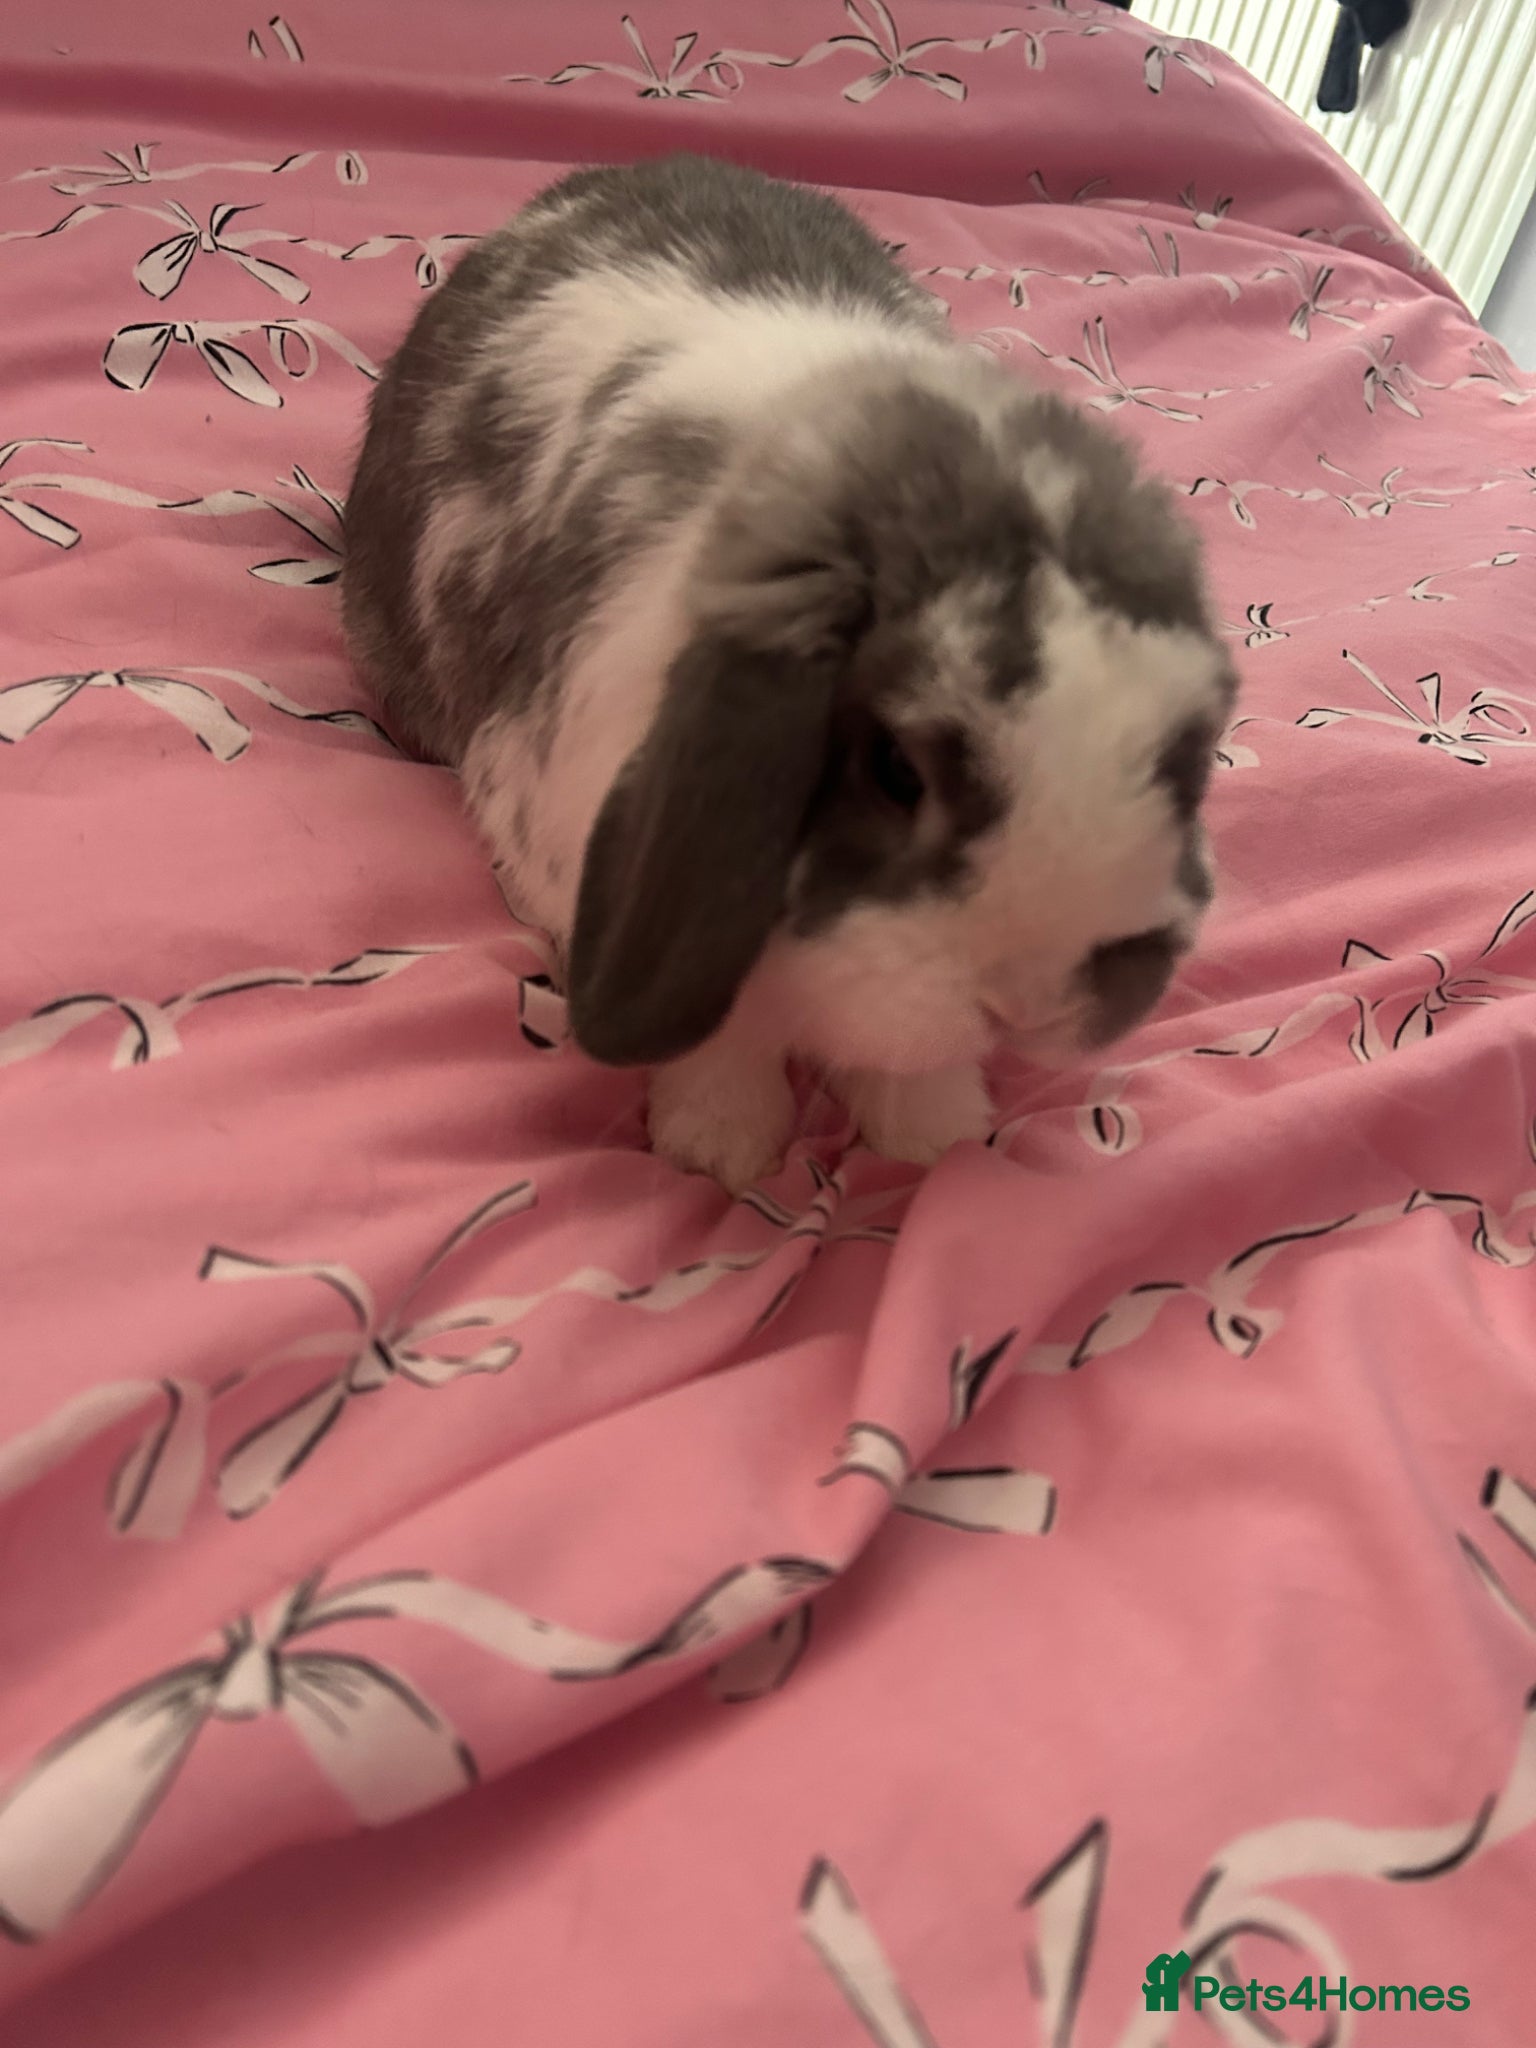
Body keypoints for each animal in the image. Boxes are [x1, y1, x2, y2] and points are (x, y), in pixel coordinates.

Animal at [342, 152, 1236, 1193]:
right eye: (895, 770)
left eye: (1189, 759)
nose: (1032, 1004)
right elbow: (720, 1041)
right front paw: (720, 1150)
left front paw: (934, 1136)